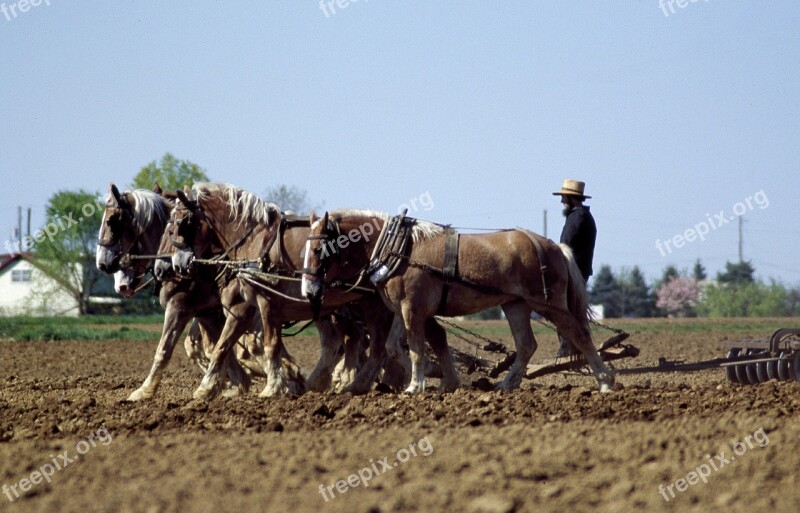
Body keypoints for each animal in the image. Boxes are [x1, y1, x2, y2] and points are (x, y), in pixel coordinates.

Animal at [304, 208, 616, 392]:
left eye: (319, 249)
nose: (308, 291)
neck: (399, 249)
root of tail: (554, 246)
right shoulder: (401, 311)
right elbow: (394, 347)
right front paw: (431, 375)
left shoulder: (412, 309)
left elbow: (416, 347)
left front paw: (416, 385)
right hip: (515, 305)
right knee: (527, 345)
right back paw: (505, 385)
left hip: (549, 304)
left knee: (580, 334)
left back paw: (605, 382)